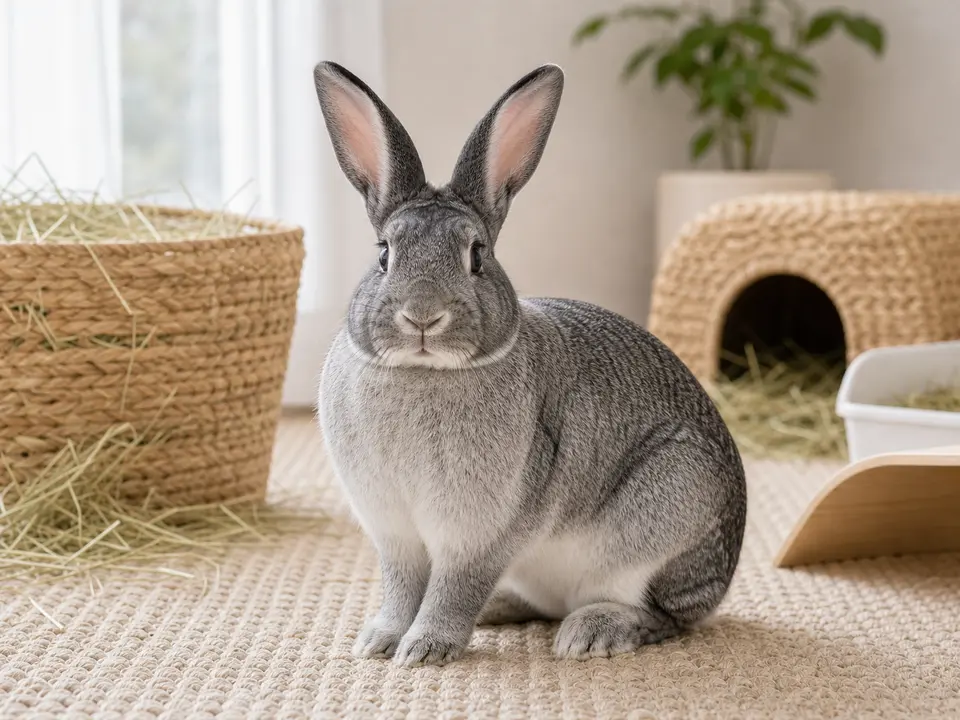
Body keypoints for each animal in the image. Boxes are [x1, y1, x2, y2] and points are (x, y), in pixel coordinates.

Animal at [312, 60, 747, 667]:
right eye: (383, 254)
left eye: (477, 256)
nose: (422, 317)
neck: (425, 372)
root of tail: (720, 580)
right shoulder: (395, 535)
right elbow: (402, 588)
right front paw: (378, 641)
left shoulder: (481, 534)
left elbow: (453, 588)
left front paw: (424, 649)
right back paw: (499, 611)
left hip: (672, 506)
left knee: (663, 617)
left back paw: (591, 633)